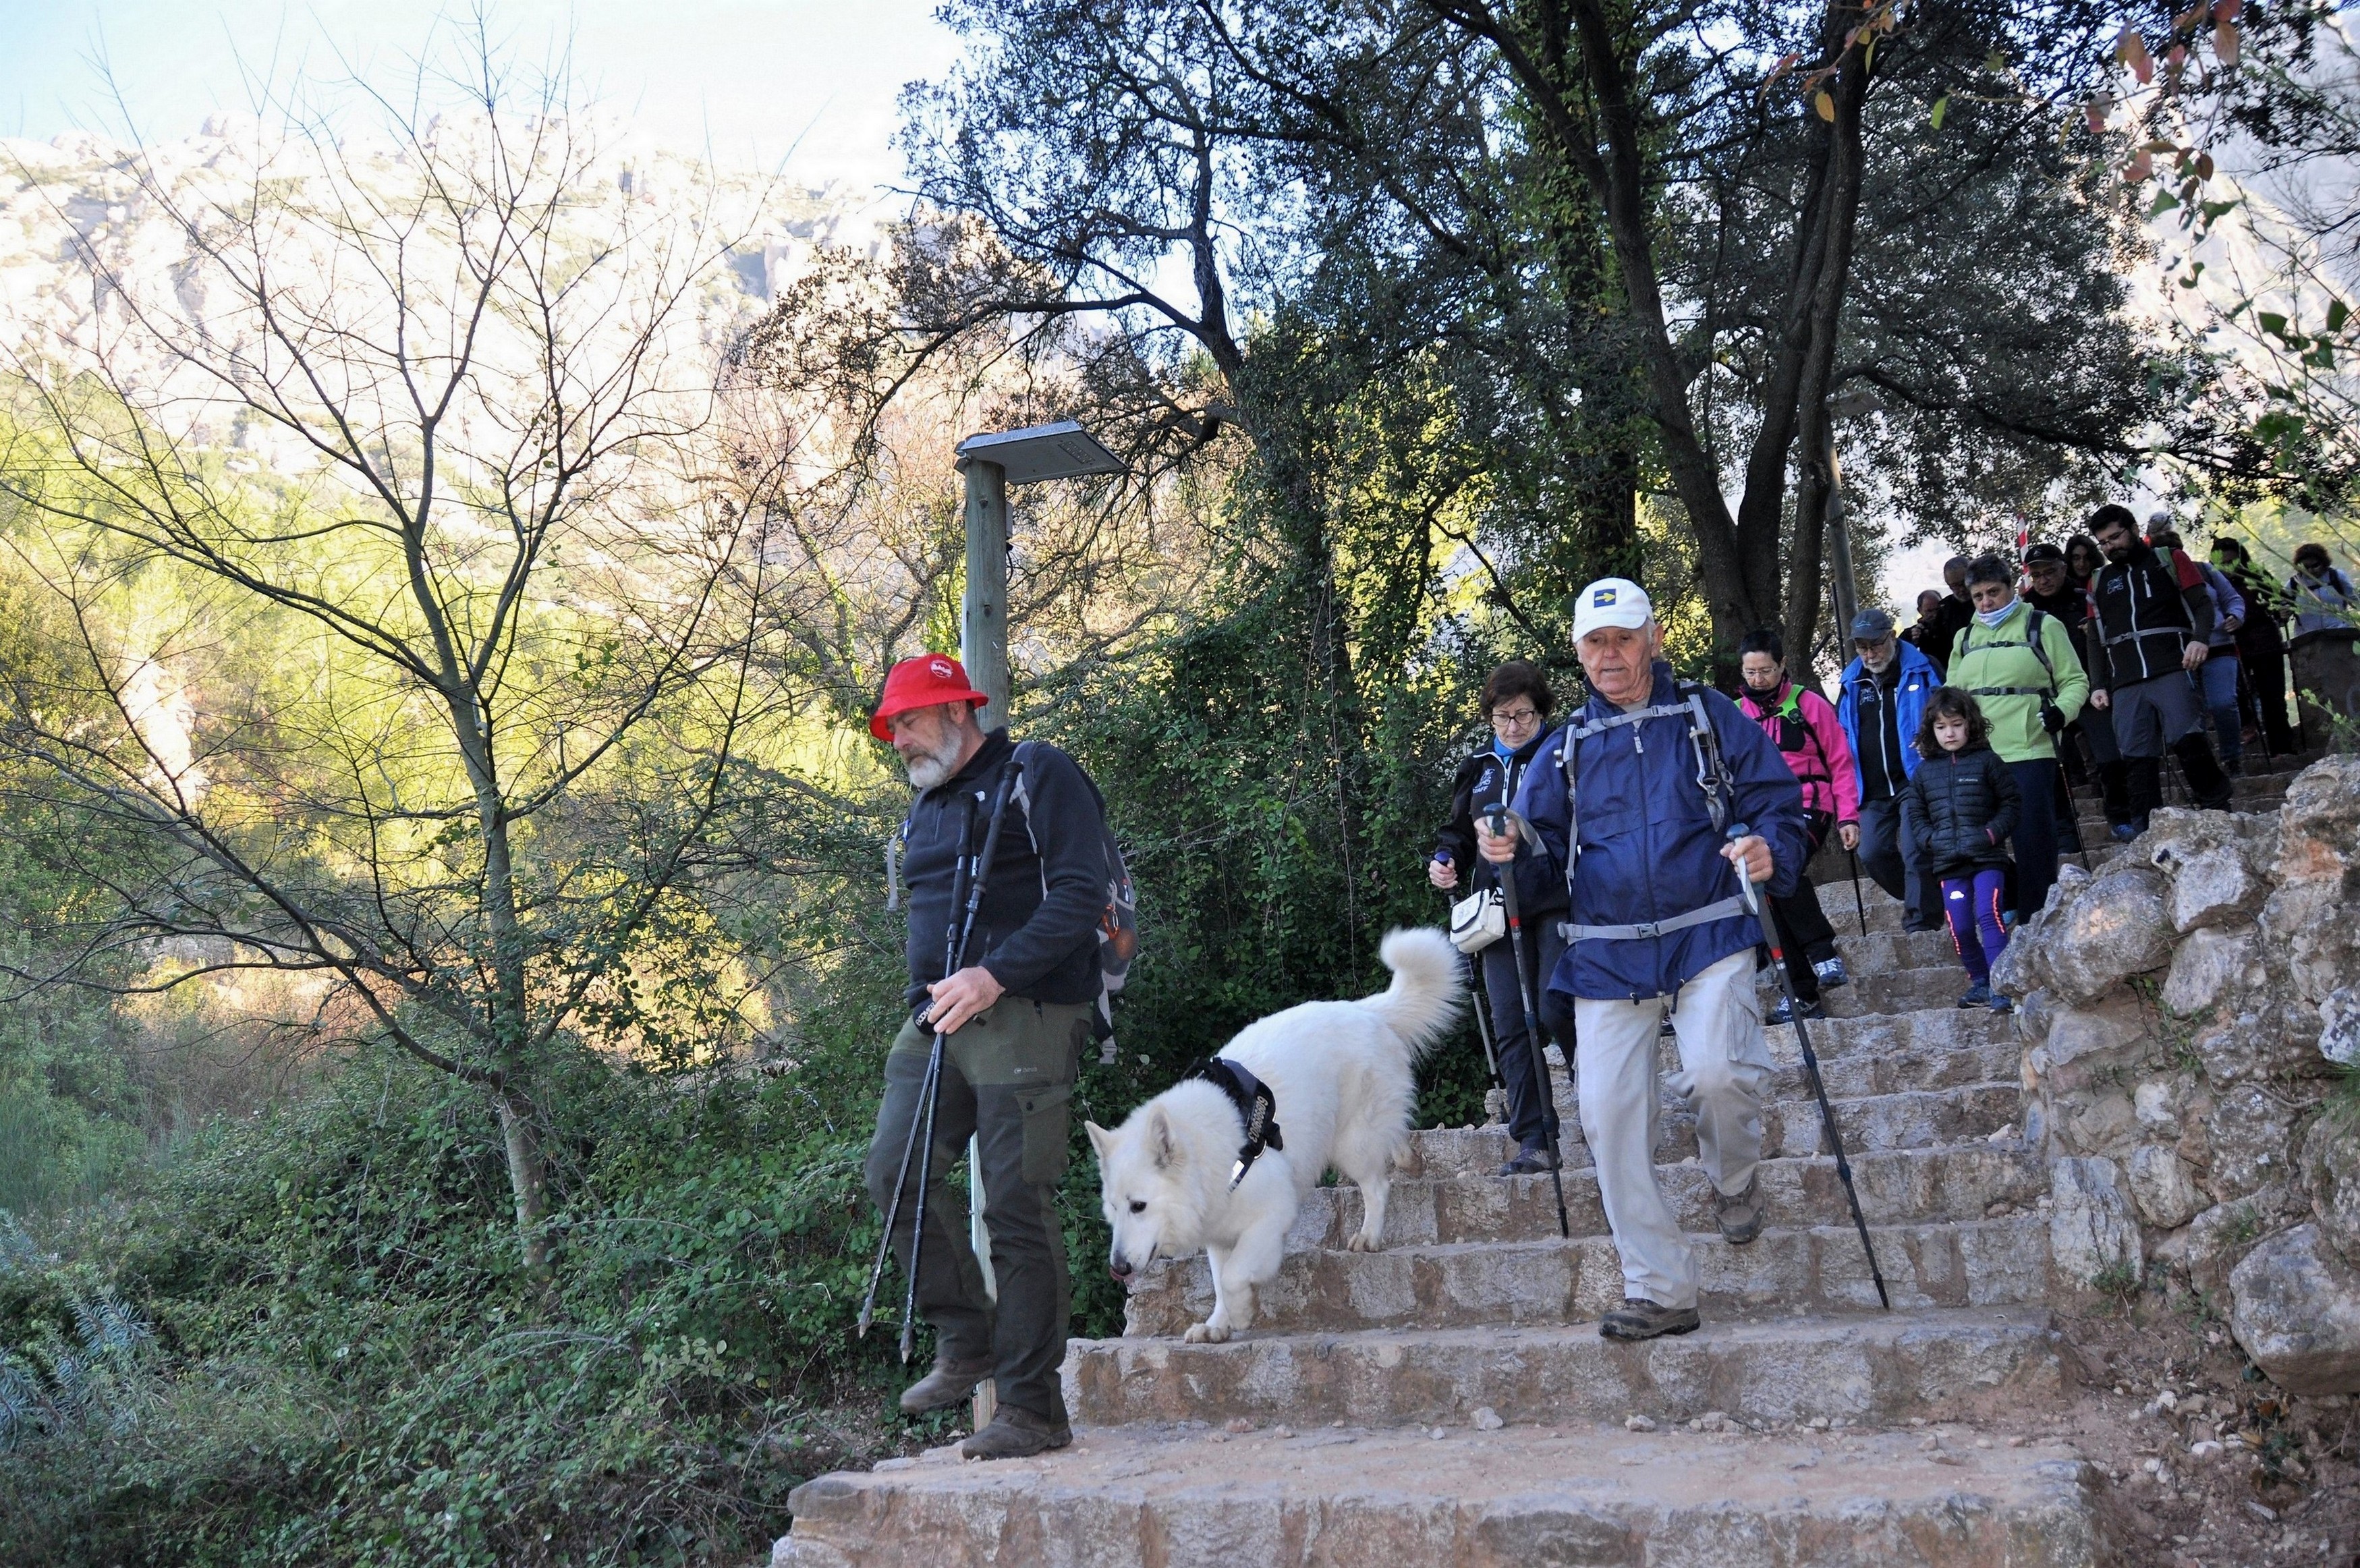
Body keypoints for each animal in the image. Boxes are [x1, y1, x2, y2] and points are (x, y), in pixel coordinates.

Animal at [1086, 927, 1462, 1343]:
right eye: (1113, 1210)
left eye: (1139, 1206)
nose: (1118, 1269)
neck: (1207, 1155)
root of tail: (1364, 1010)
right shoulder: (1219, 1233)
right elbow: (1218, 1280)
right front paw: (1217, 1325)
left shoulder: (1271, 1214)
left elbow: (1233, 1277)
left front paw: (1240, 1314)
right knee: (1395, 1141)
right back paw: (1409, 1160)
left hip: (1352, 1144)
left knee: (1377, 1186)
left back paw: (1369, 1236)